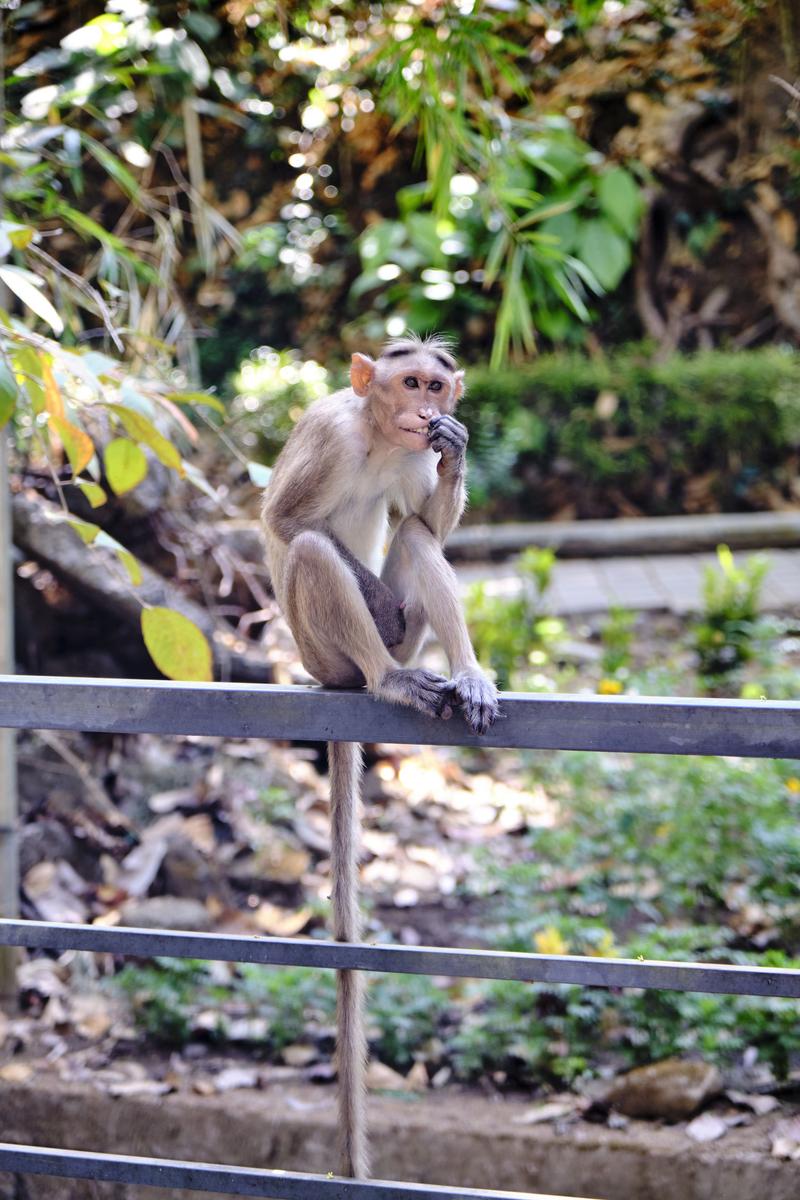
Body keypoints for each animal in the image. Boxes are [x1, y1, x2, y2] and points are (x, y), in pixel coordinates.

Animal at [262, 333, 496, 1176]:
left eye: (437, 387)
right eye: (409, 381)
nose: (427, 411)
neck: (375, 436)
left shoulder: (412, 458)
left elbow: (426, 520)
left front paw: (456, 448)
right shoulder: (329, 438)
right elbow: (286, 519)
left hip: (413, 640)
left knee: (418, 541)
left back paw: (467, 674)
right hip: (322, 654)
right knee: (310, 554)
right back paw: (385, 677)